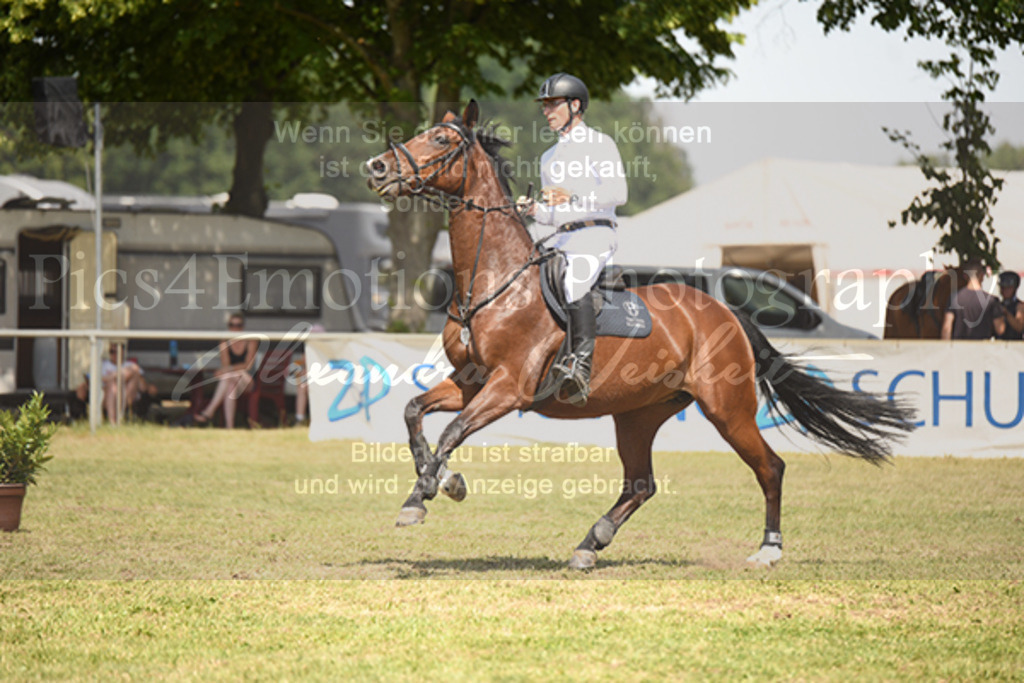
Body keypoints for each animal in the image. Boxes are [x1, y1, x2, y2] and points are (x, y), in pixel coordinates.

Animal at [366, 101, 913, 569]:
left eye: (439, 139)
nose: (376, 168)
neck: (495, 284)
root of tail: (727, 314)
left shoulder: (507, 387)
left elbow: (451, 432)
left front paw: (429, 493)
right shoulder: (471, 383)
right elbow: (415, 414)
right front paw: (436, 483)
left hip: (727, 408)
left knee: (770, 467)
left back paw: (768, 550)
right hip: (637, 414)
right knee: (641, 484)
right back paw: (591, 544)